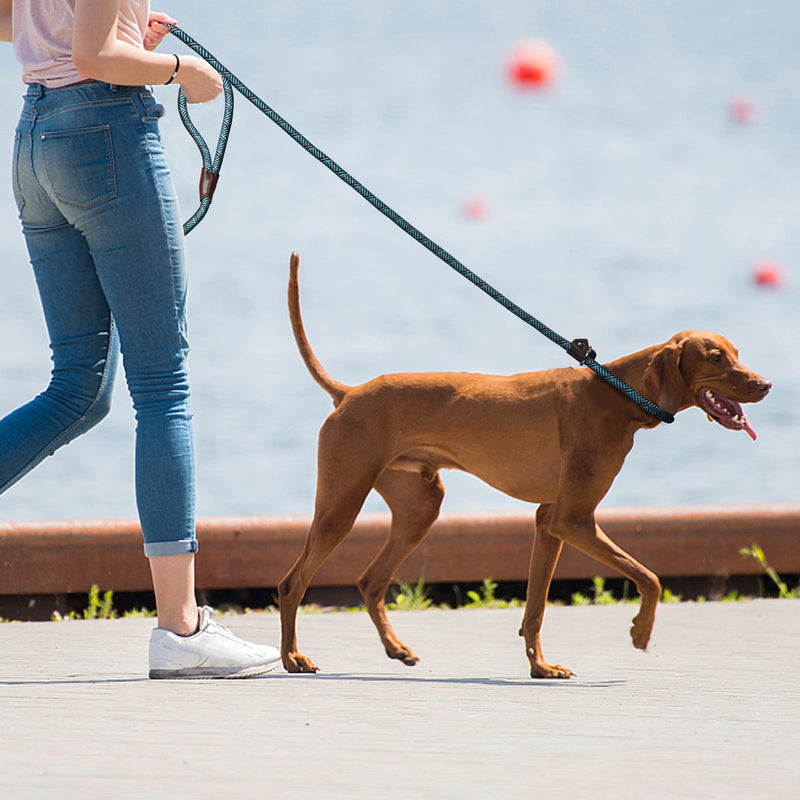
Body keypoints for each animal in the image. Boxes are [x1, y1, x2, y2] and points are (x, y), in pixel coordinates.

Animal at [278, 253, 772, 680]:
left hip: (420, 507)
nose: (766, 384)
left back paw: (395, 649)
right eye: (716, 358)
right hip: (341, 506)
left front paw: (540, 667)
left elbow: (536, 607)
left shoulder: (549, 521)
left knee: (371, 580)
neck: (617, 392)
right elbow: (650, 578)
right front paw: (640, 632)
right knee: (291, 583)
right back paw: (292, 658)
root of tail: (349, 392)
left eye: (737, 353)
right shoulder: (574, 519)